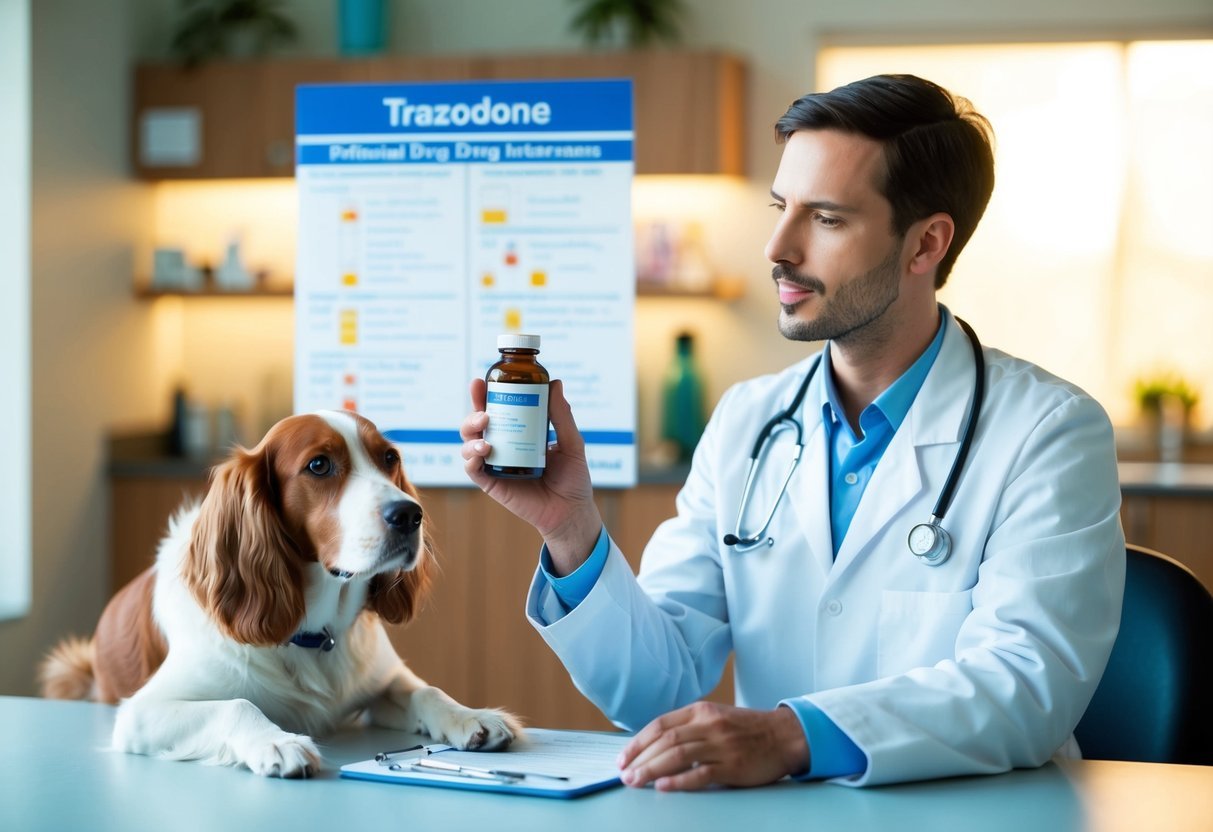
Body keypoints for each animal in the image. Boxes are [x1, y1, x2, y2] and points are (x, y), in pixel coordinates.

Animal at [36, 414, 521, 781]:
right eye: (319, 465)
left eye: (389, 458)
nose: (409, 514)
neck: (312, 631)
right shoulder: (141, 712)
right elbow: (237, 704)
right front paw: (277, 741)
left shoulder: (381, 683)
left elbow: (427, 691)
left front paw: (473, 716)